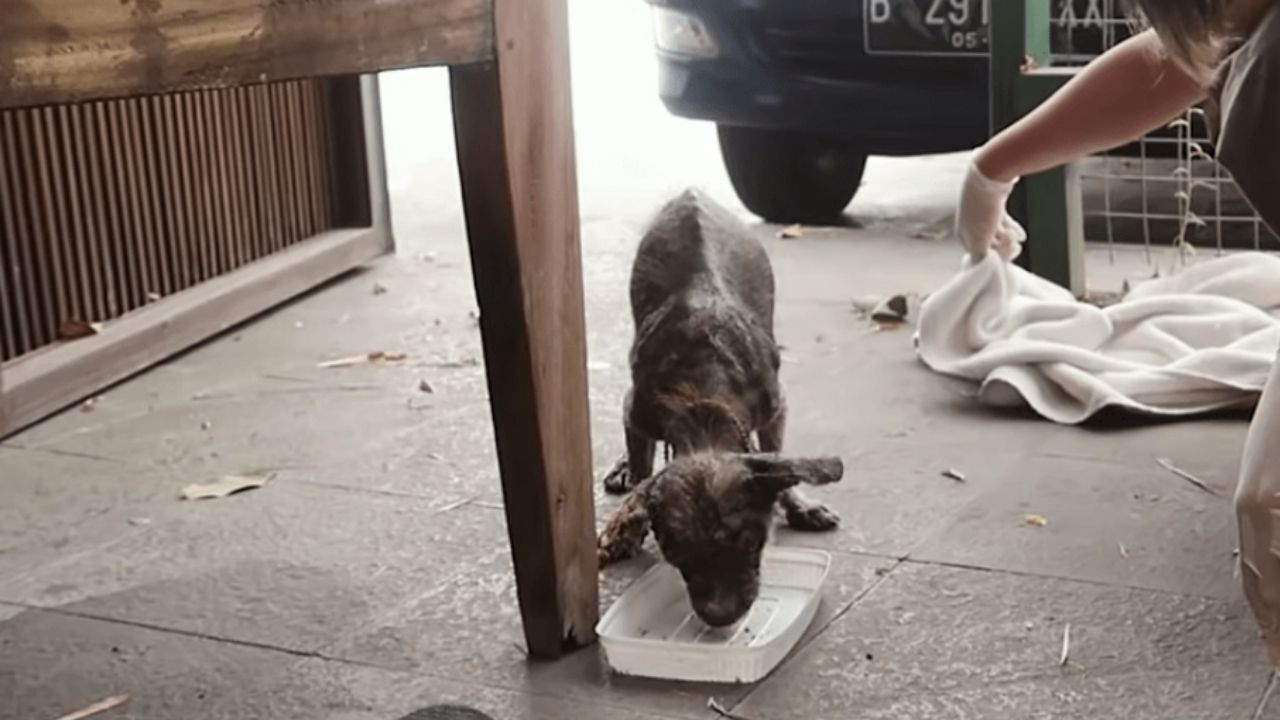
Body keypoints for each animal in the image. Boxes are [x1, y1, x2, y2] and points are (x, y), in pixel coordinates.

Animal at [601, 188, 849, 625]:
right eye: (676, 554)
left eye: (752, 543)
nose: (721, 617)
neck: (704, 402)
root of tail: (691, 193)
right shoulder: (635, 408)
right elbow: (644, 472)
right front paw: (628, 521)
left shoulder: (776, 408)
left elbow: (780, 461)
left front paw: (798, 506)